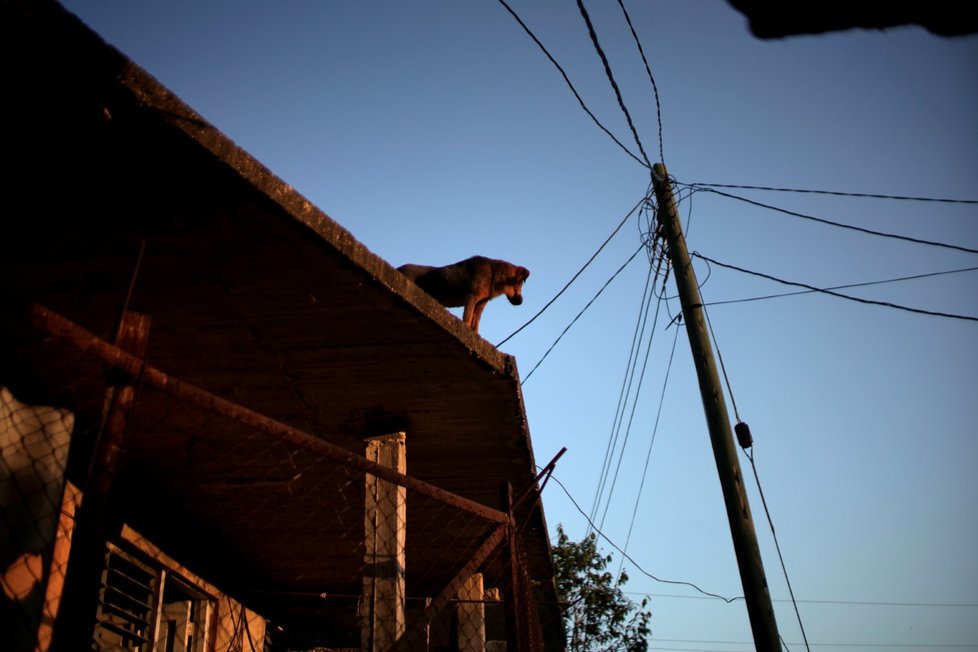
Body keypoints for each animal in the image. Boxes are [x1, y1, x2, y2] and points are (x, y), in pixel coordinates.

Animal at [398, 256, 528, 336]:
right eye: (521, 283)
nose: (521, 301)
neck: (493, 274)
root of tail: (398, 268)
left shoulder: (480, 303)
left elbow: (475, 323)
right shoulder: (471, 297)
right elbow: (467, 319)